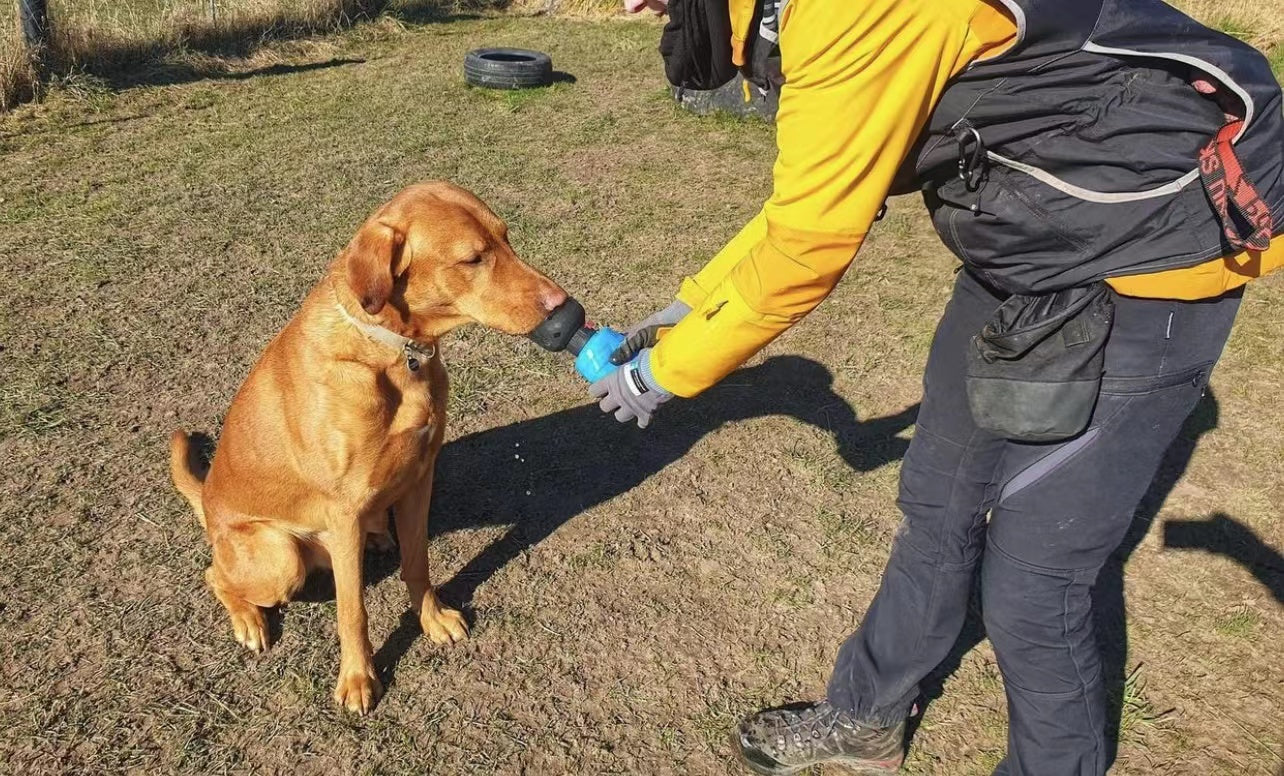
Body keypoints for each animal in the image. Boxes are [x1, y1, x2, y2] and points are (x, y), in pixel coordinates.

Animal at [169, 179, 567, 709]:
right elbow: (352, 611)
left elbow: (417, 563)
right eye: (472, 258)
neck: (393, 352)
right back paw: (249, 619)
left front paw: (431, 619)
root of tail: (209, 503)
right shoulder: (343, 510)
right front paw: (358, 678)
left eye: (507, 238)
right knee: (215, 575)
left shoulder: (420, 477)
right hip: (279, 555)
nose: (564, 305)